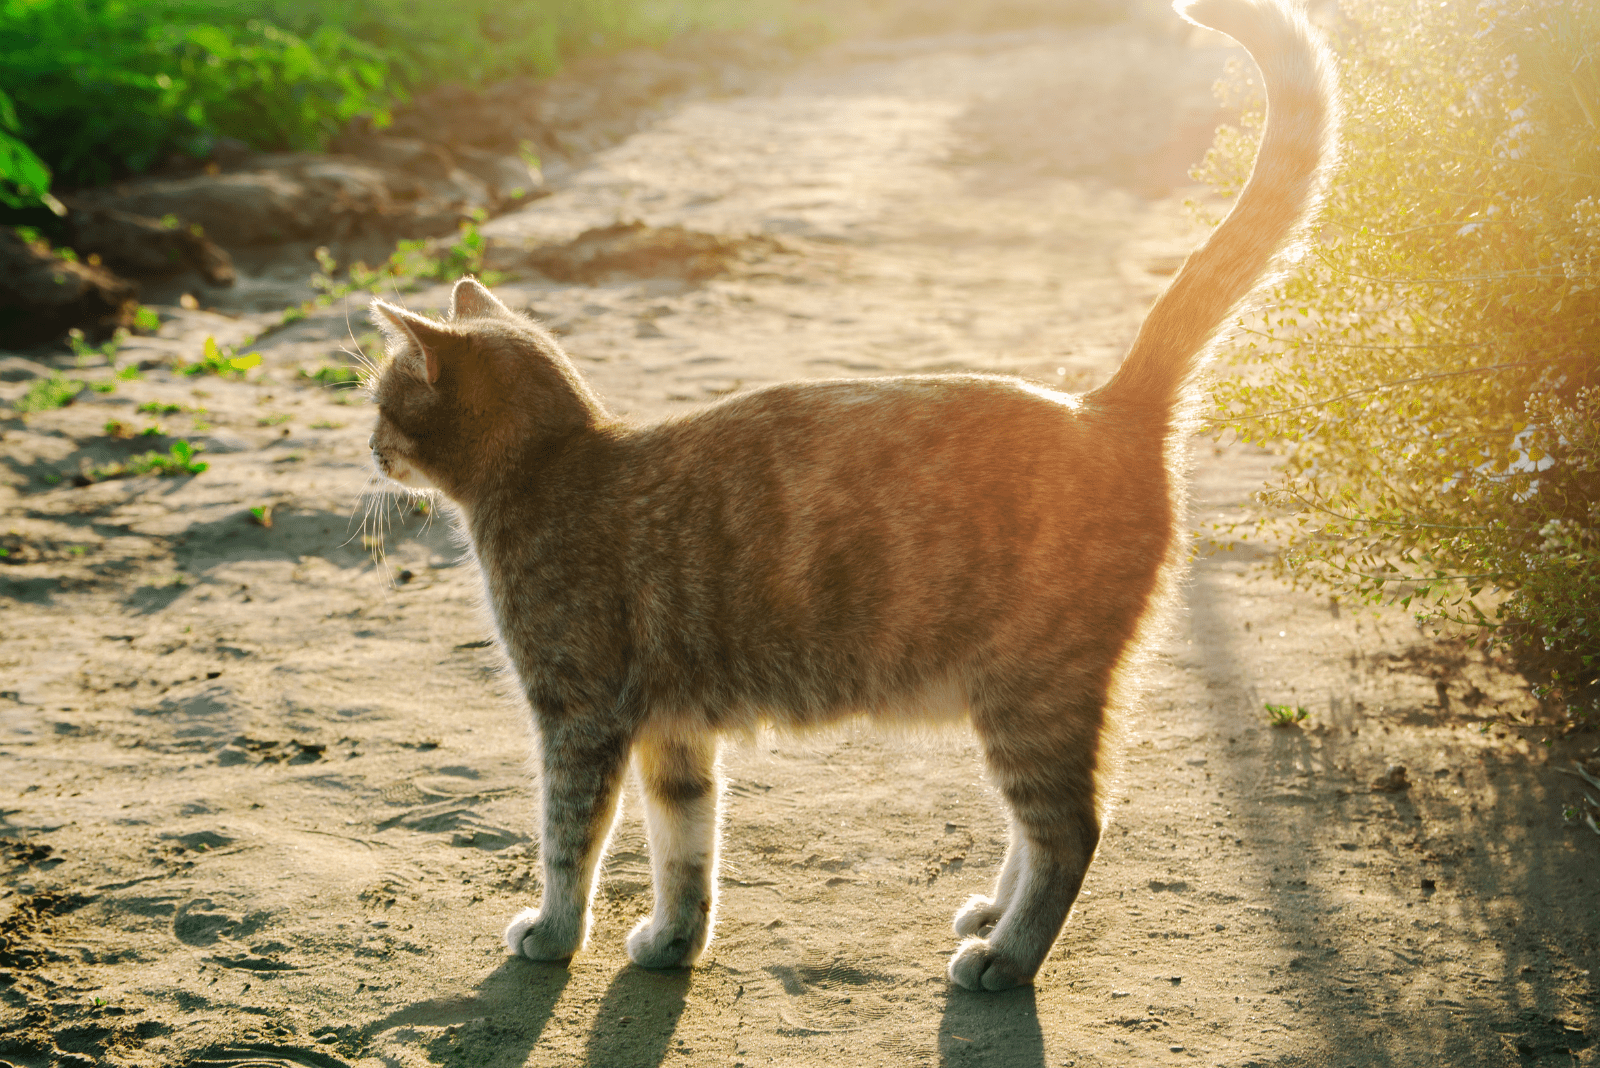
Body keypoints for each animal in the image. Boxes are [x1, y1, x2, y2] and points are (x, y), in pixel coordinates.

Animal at [363, 0, 1337, 991]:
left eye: (383, 398)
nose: (369, 446)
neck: (557, 463)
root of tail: (1104, 407)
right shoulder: (674, 736)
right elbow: (687, 848)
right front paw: (675, 942)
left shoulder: (579, 720)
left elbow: (569, 845)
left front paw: (556, 932)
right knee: (1043, 826)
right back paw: (994, 915)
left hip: (1032, 691)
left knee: (1072, 830)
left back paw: (1007, 955)